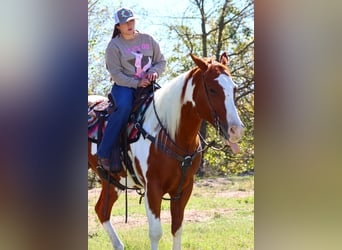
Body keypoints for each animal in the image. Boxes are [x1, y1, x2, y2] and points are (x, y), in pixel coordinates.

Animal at [87, 53, 243, 250]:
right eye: (212, 89)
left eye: (234, 88)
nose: (236, 130)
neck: (169, 133)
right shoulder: (153, 188)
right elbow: (155, 233)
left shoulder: (184, 189)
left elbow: (177, 228)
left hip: (112, 182)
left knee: (102, 210)